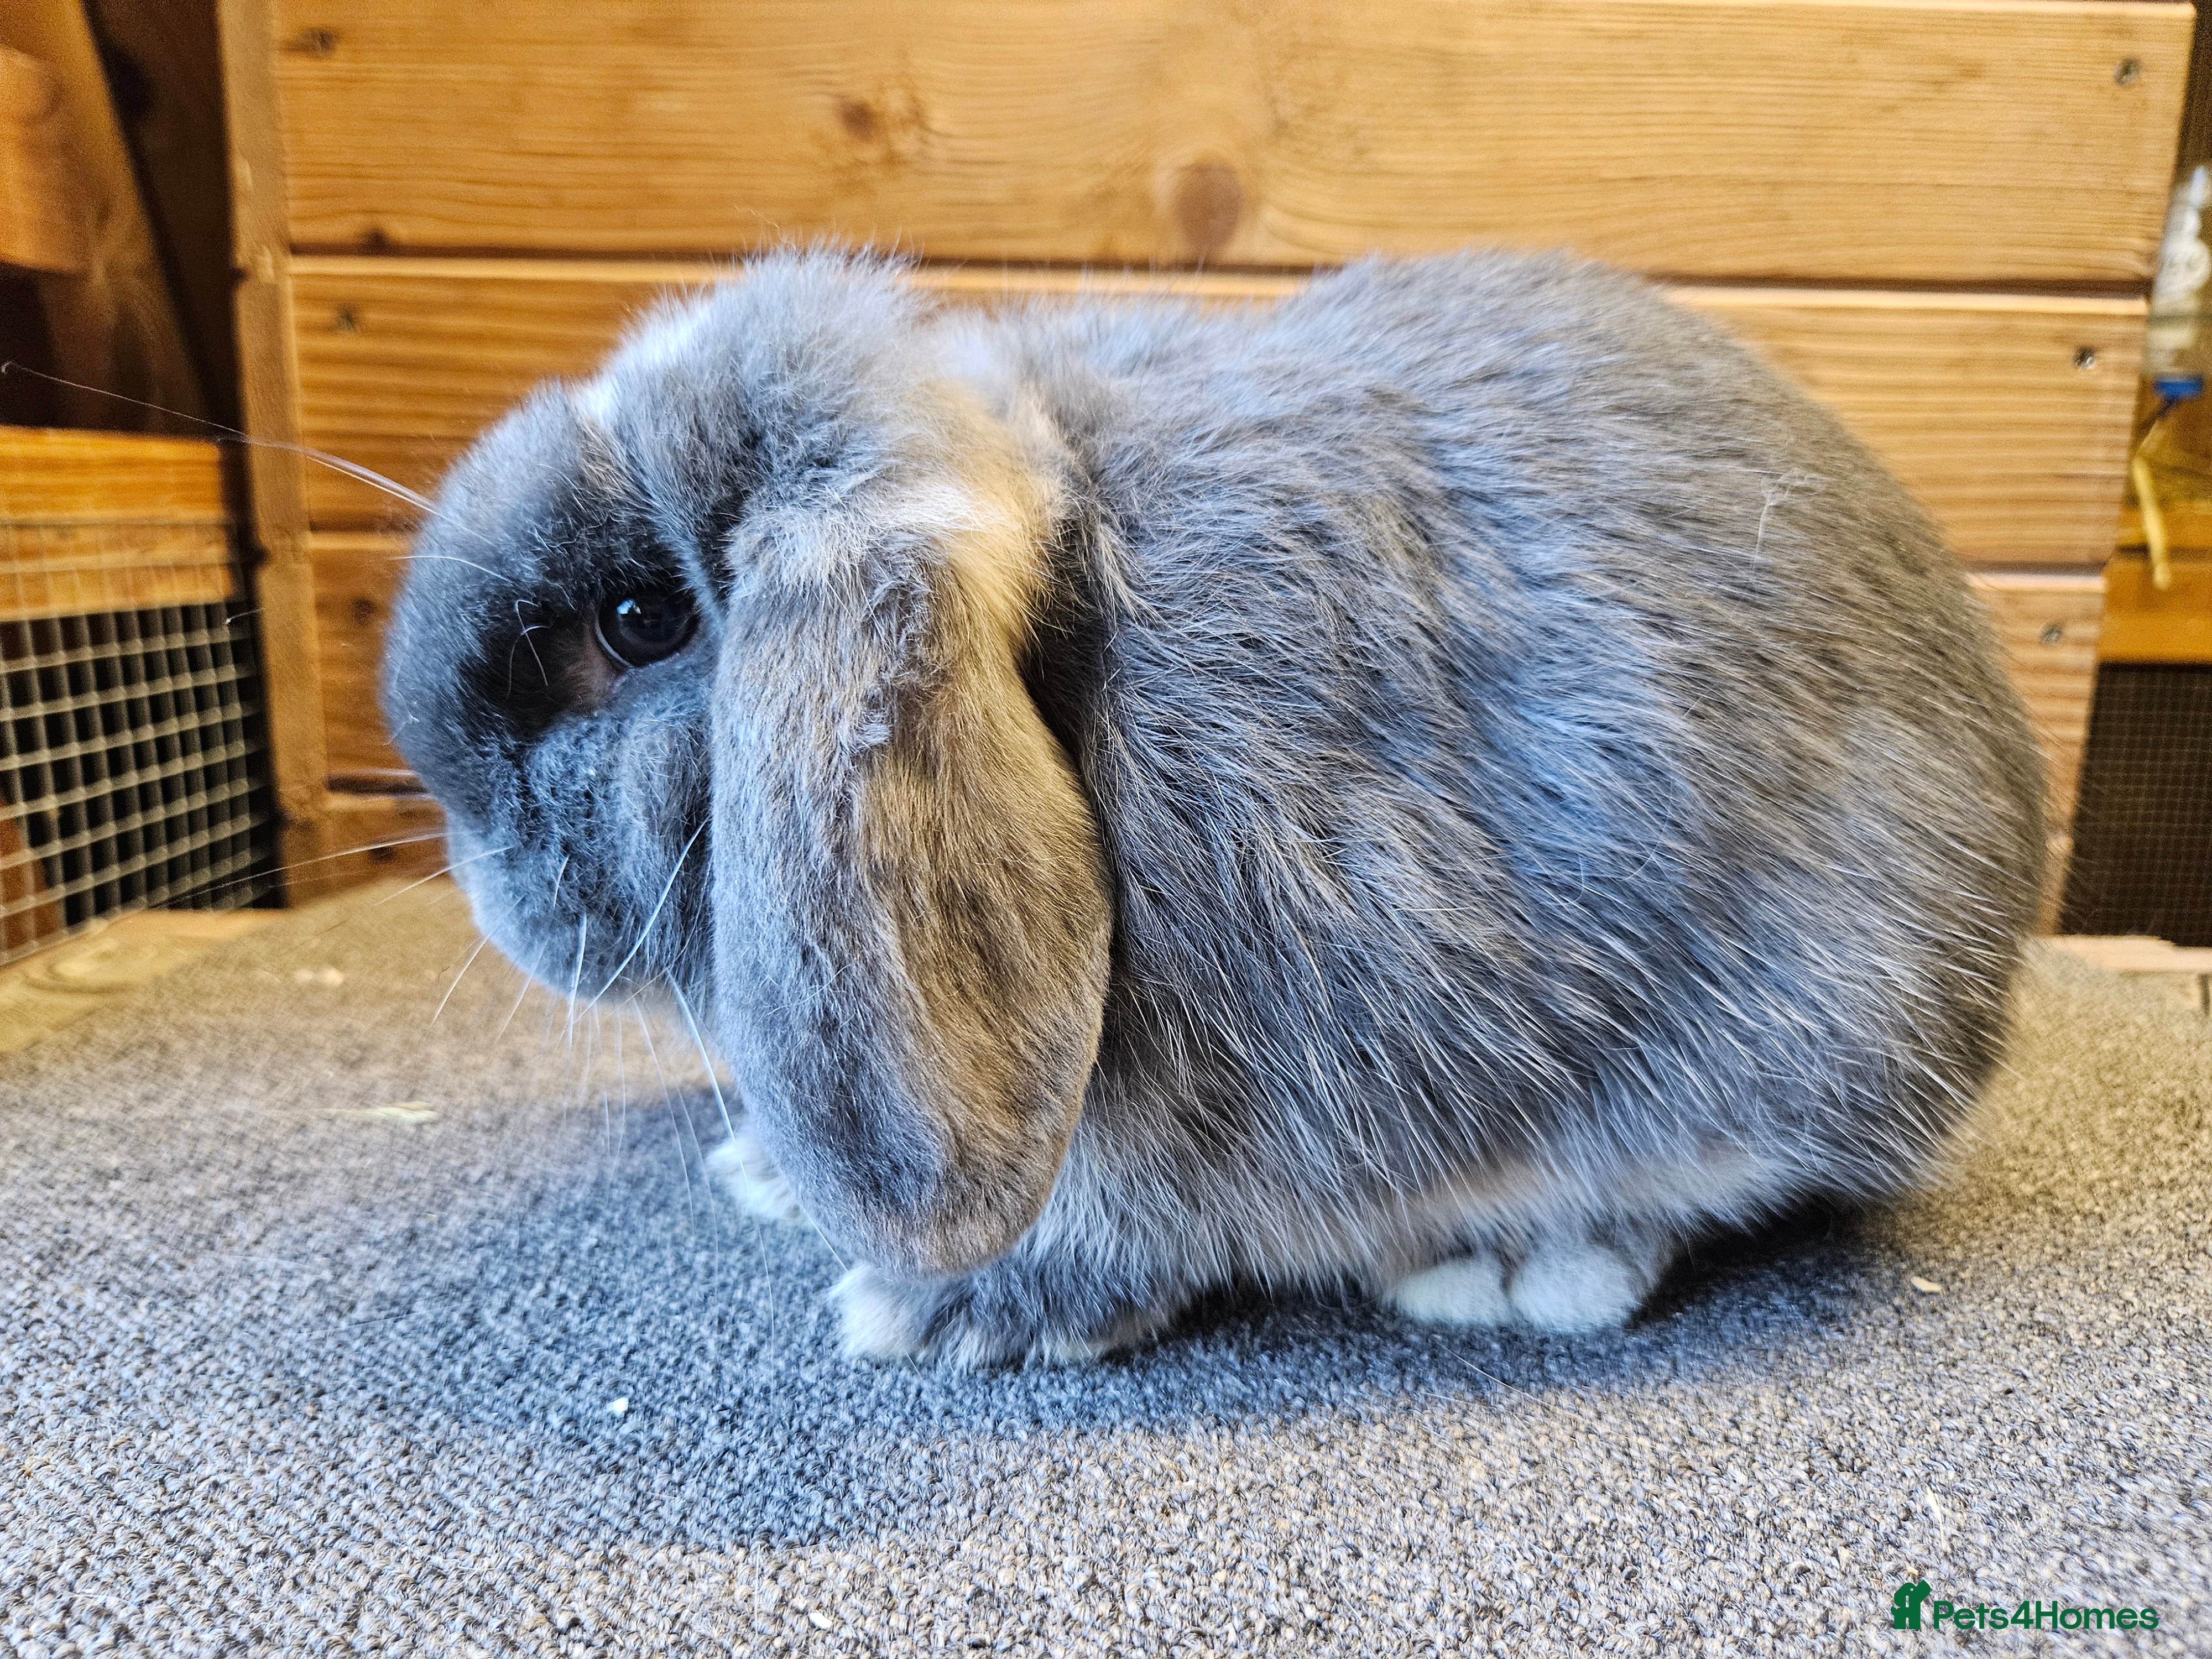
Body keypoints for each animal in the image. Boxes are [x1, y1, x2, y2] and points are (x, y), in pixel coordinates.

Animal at [383, 248, 2046, 1366]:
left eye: (639, 618)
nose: (476, 864)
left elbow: (1117, 1233)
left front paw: (938, 1311)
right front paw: (762, 1178)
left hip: (1781, 1042)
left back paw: (1512, 1268)